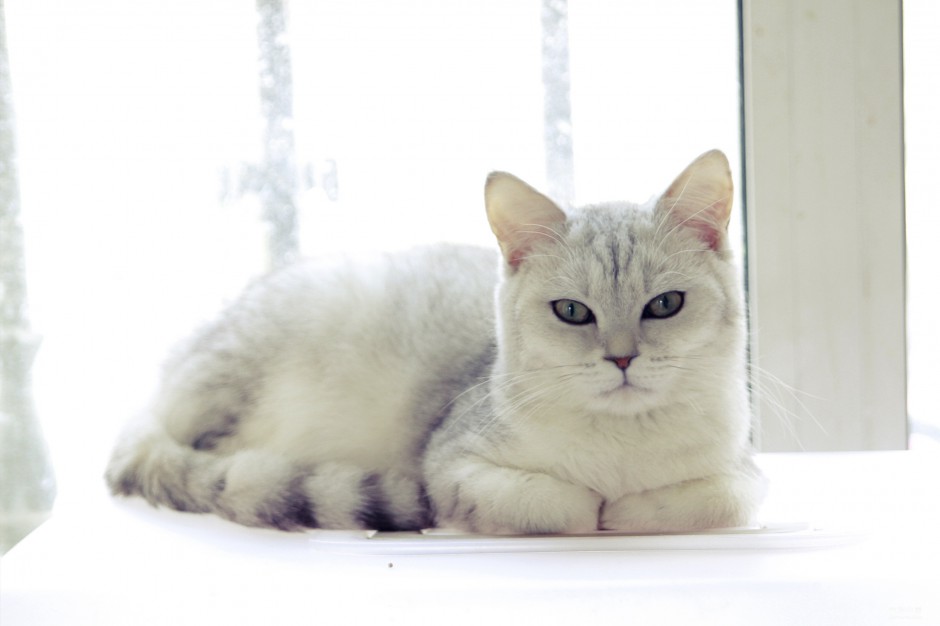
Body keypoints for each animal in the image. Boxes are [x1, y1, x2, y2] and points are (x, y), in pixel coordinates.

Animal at [104, 150, 764, 532]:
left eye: (665, 305)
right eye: (573, 312)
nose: (622, 357)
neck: (622, 445)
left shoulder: (744, 471)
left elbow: (718, 498)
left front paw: (629, 511)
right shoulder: (448, 465)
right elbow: (555, 505)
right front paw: (595, 509)